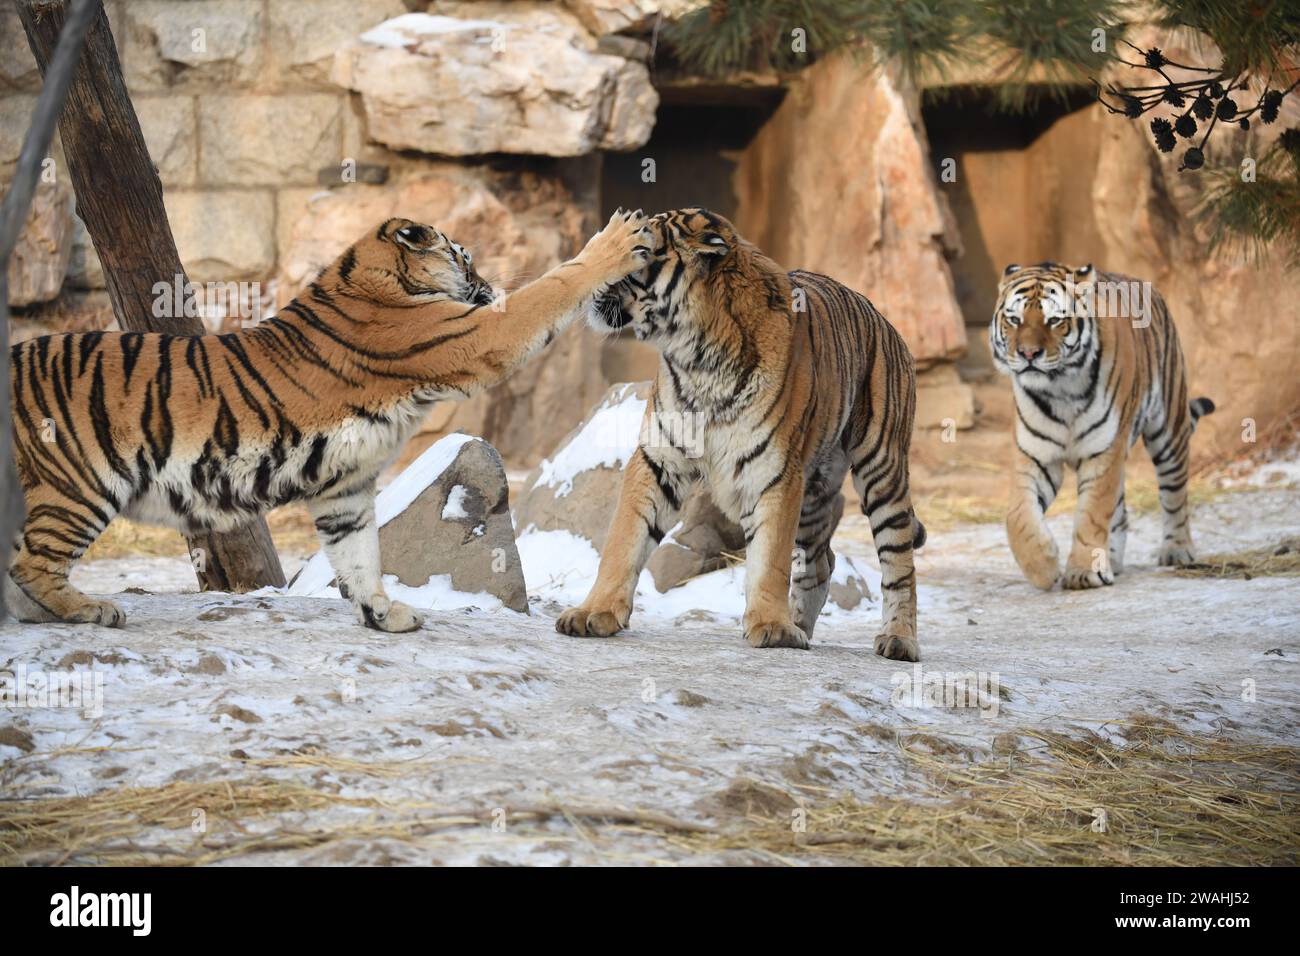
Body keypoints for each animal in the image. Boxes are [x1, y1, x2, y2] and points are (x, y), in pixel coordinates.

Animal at [0, 205, 650, 632]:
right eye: (464, 257)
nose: (488, 286)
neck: (370, 278)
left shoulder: (346, 483)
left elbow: (358, 553)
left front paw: (383, 613)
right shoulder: (473, 334)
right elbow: (549, 290)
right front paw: (614, 242)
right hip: (75, 486)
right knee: (31, 565)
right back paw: (90, 609)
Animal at [556, 208, 925, 658]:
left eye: (638, 248)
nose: (590, 267)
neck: (695, 357)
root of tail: (885, 320)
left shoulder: (775, 471)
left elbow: (770, 558)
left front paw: (770, 625)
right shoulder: (657, 460)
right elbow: (623, 540)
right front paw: (594, 612)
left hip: (882, 470)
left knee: (900, 565)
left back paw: (897, 639)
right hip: (815, 489)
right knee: (822, 562)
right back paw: (800, 627)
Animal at [987, 261, 1211, 590]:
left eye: (1054, 320)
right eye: (1014, 319)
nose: (1028, 354)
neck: (1059, 389)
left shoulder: (1104, 451)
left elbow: (1092, 514)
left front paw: (1082, 572)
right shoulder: (1036, 456)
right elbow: (1018, 515)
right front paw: (1043, 566)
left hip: (1169, 430)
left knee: (1174, 494)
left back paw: (1177, 549)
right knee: (1121, 513)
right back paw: (1112, 562)